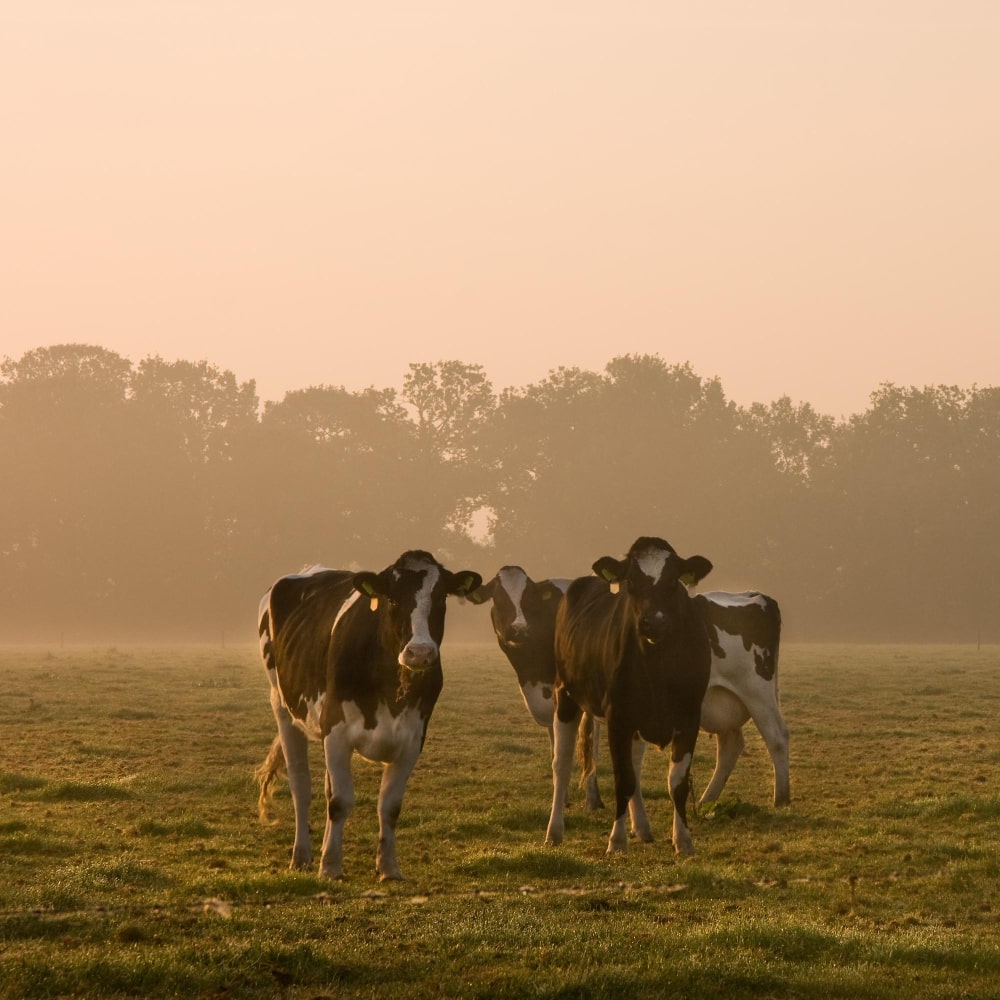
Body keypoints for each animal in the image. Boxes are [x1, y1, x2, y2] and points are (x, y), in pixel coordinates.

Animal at [254, 556, 480, 884]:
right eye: (392, 599)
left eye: (441, 598)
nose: (419, 653)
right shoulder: (336, 730)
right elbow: (340, 801)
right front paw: (330, 866)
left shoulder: (412, 740)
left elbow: (389, 806)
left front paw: (388, 867)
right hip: (282, 707)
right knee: (301, 786)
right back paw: (302, 856)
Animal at [466, 568, 600, 808]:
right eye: (498, 597)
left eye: (528, 597)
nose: (518, 629)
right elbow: (556, 749)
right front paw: (562, 797)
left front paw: (590, 798)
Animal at [544, 536, 716, 856]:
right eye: (632, 582)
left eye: (673, 580)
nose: (654, 622)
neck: (659, 664)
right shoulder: (618, 718)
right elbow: (623, 779)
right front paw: (616, 840)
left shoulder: (689, 717)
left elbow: (676, 782)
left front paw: (683, 840)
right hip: (566, 696)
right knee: (561, 764)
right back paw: (554, 831)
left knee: (635, 766)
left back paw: (643, 828)